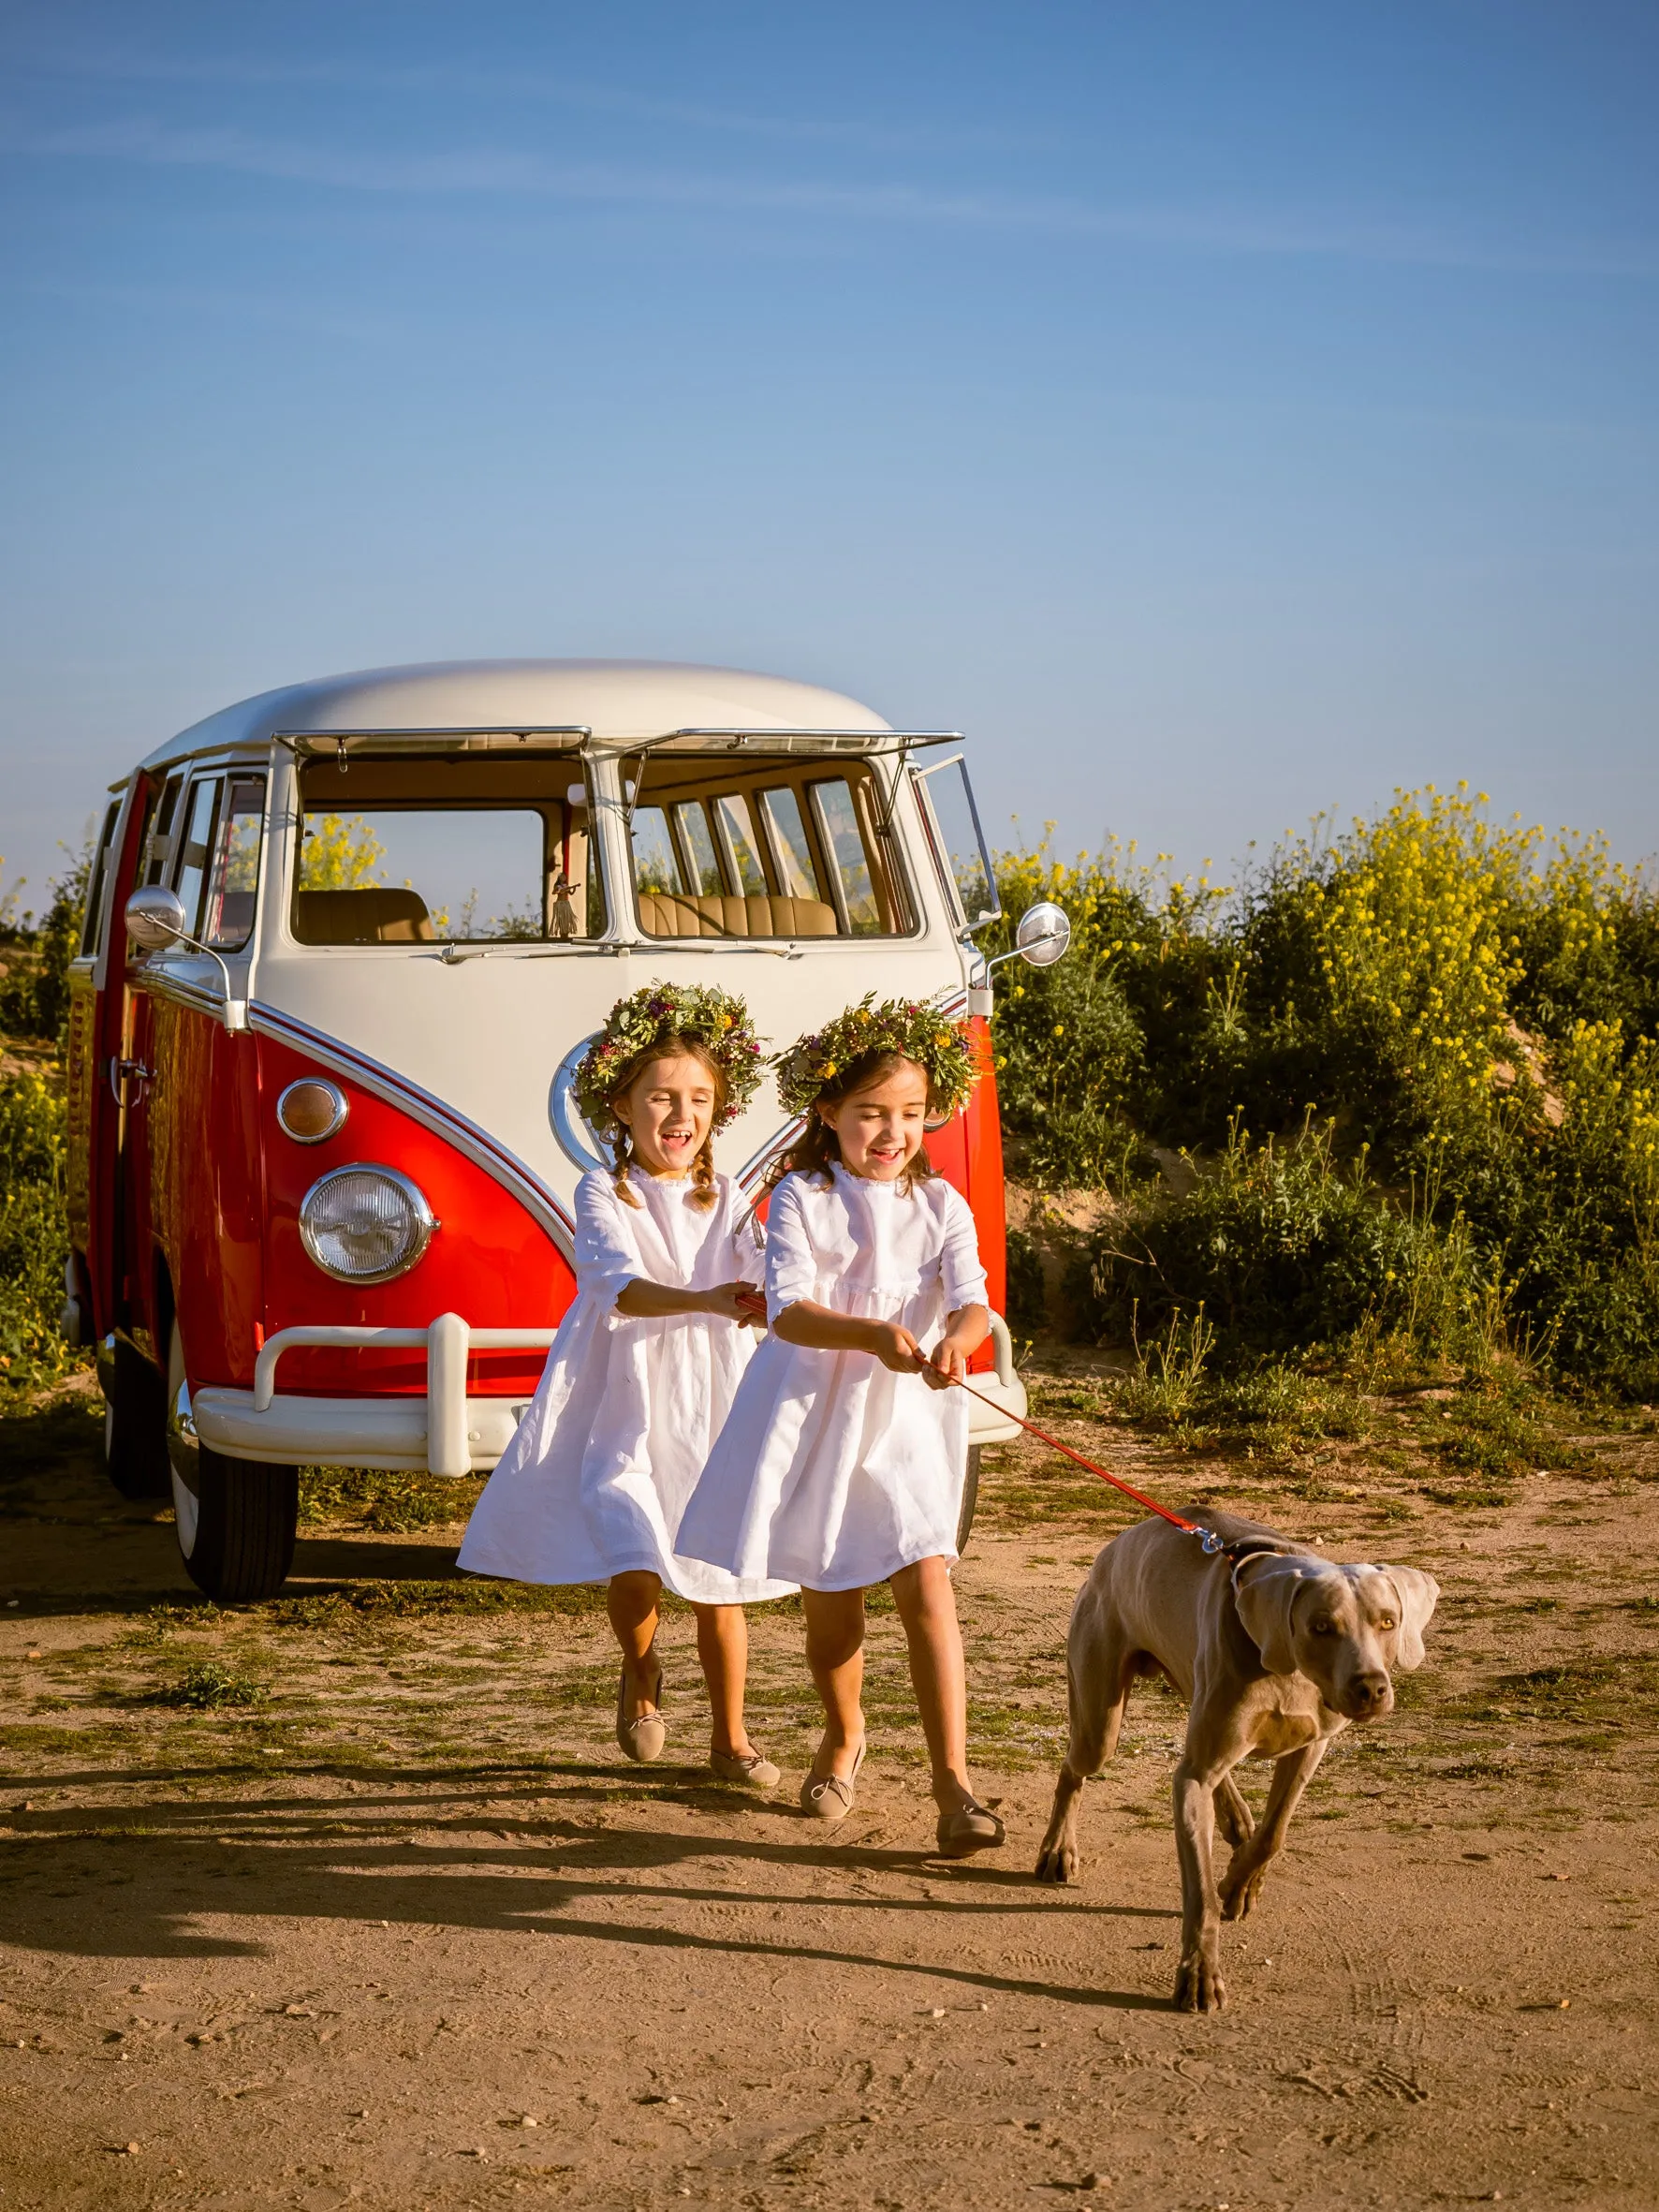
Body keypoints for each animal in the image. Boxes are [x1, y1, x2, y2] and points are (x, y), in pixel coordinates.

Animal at [1039, 1512, 1442, 2017]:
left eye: (1387, 1621)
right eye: (1321, 1626)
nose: (1370, 1687)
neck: (1282, 1666)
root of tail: (1116, 1545)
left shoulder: (1312, 1744)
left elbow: (1273, 1834)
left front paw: (1239, 1886)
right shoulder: (1195, 1775)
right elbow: (1200, 1891)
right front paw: (1199, 1974)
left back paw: (1236, 1822)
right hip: (1101, 1717)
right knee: (1075, 1768)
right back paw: (1057, 1849)